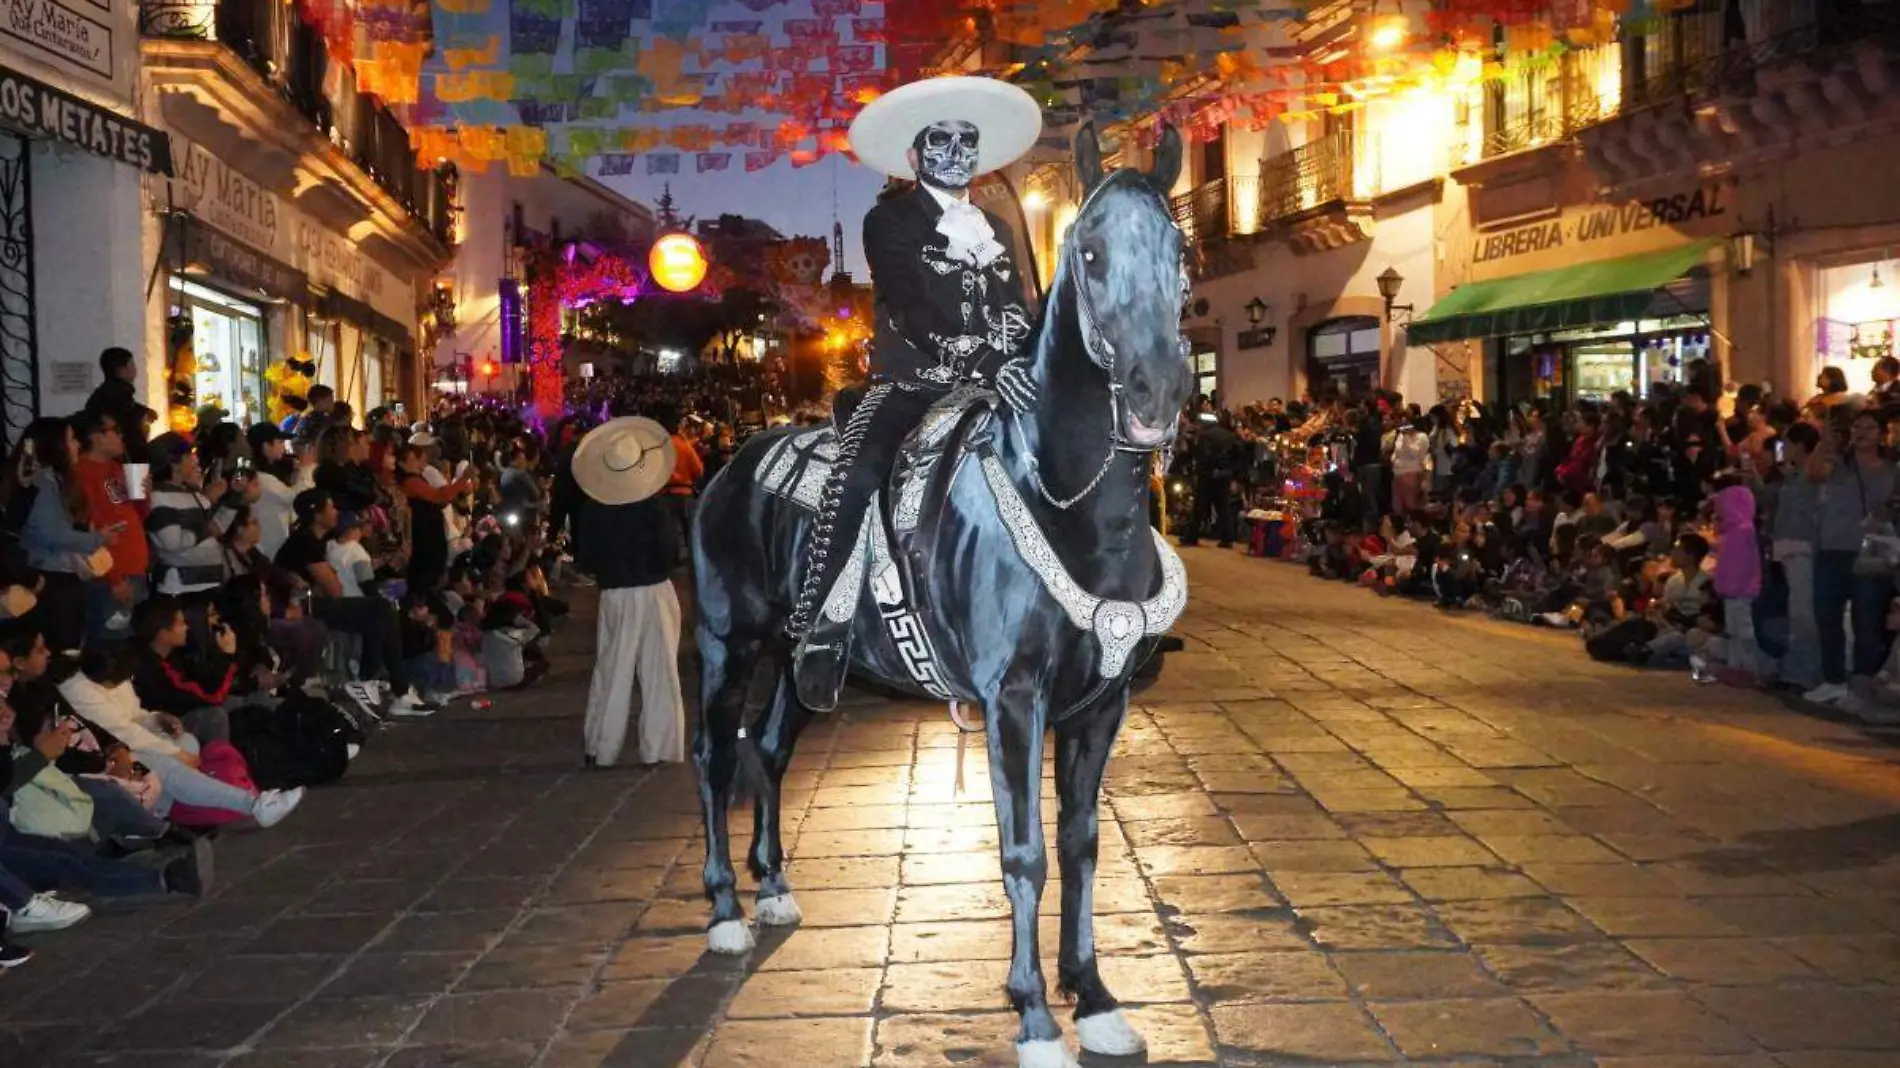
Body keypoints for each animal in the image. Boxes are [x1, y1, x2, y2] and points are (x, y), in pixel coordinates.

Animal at [691, 126, 1185, 1064]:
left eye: (1179, 248)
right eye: (1089, 252)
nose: (1154, 398)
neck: (1066, 500)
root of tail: (731, 463)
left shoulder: (1101, 705)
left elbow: (1082, 844)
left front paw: (1095, 999)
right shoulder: (1014, 701)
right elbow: (1024, 851)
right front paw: (1035, 1016)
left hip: (805, 659)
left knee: (767, 747)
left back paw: (772, 887)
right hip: (724, 645)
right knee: (713, 757)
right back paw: (727, 911)